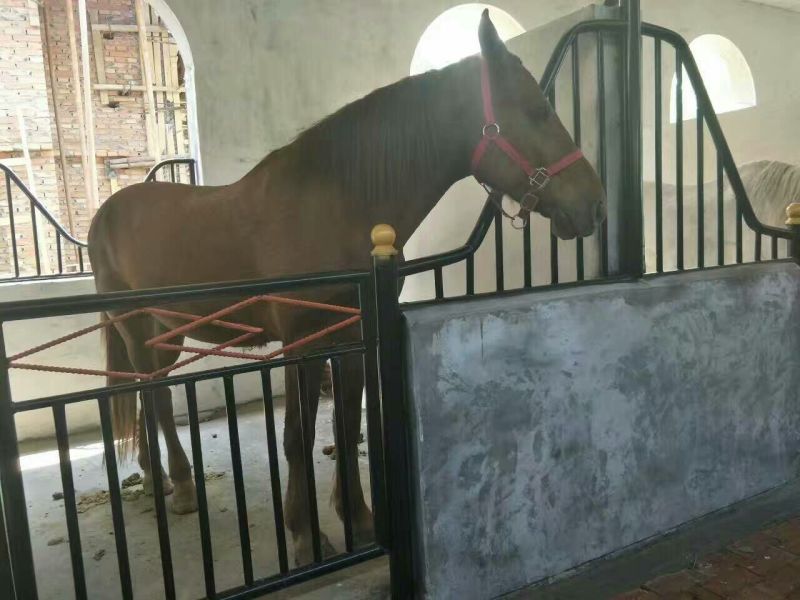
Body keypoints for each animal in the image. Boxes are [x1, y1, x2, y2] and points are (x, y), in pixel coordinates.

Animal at [87, 10, 606, 566]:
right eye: (538, 111)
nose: (593, 204)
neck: (335, 205)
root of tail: (105, 212)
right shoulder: (302, 343)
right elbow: (297, 437)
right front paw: (304, 534)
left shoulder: (352, 336)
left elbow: (344, 424)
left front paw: (357, 517)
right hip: (136, 329)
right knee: (152, 397)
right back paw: (179, 486)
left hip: (166, 331)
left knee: (149, 394)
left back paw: (162, 479)